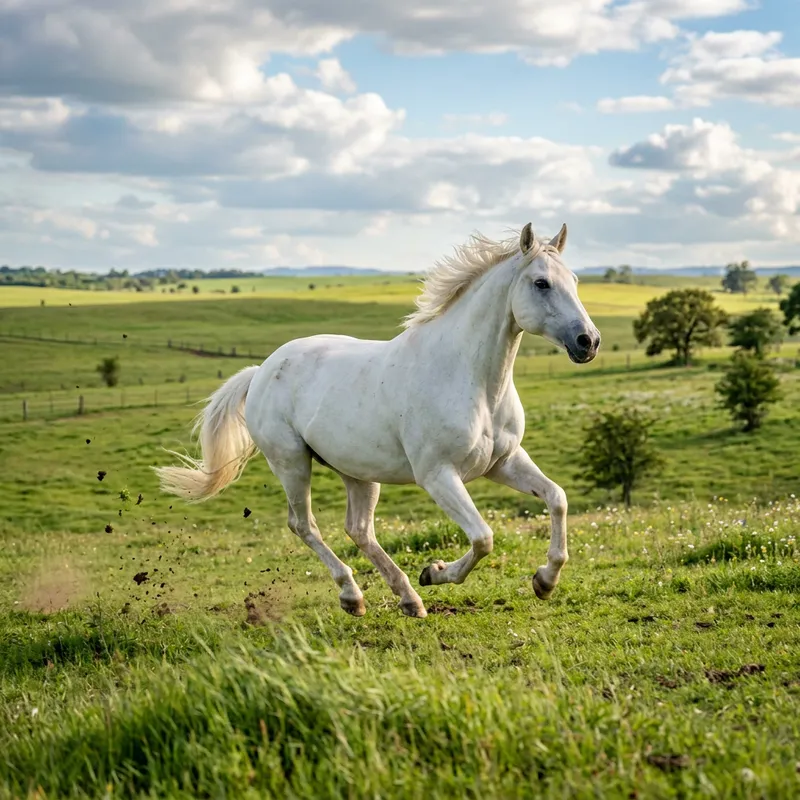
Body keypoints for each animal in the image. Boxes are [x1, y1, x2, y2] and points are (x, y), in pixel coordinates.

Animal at [155, 222, 600, 618]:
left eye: (575, 280)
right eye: (541, 283)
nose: (589, 341)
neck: (471, 378)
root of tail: (260, 371)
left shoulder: (503, 462)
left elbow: (557, 498)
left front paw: (545, 581)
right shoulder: (438, 475)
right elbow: (483, 538)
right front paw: (435, 572)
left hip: (358, 472)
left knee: (359, 530)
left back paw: (408, 600)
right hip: (291, 463)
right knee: (304, 525)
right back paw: (354, 597)